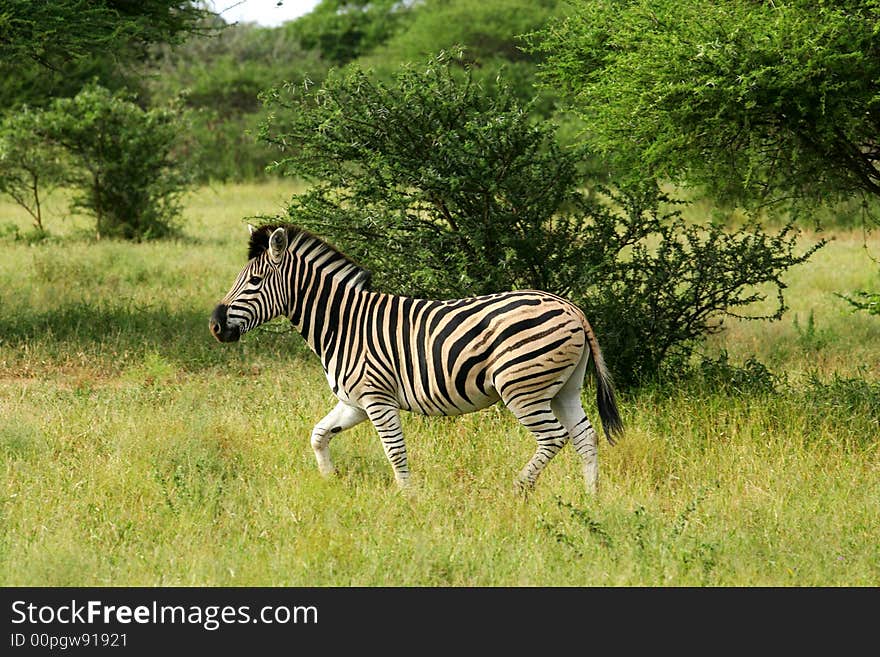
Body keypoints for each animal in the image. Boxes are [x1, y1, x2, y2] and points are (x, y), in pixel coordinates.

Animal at [210, 224, 624, 492]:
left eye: (254, 282)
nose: (215, 326)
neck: (342, 323)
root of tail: (571, 307)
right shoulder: (354, 402)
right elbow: (318, 435)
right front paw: (330, 481)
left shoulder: (377, 398)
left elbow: (395, 452)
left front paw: (407, 500)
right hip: (565, 388)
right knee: (585, 436)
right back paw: (591, 497)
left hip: (522, 388)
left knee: (554, 437)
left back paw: (519, 487)